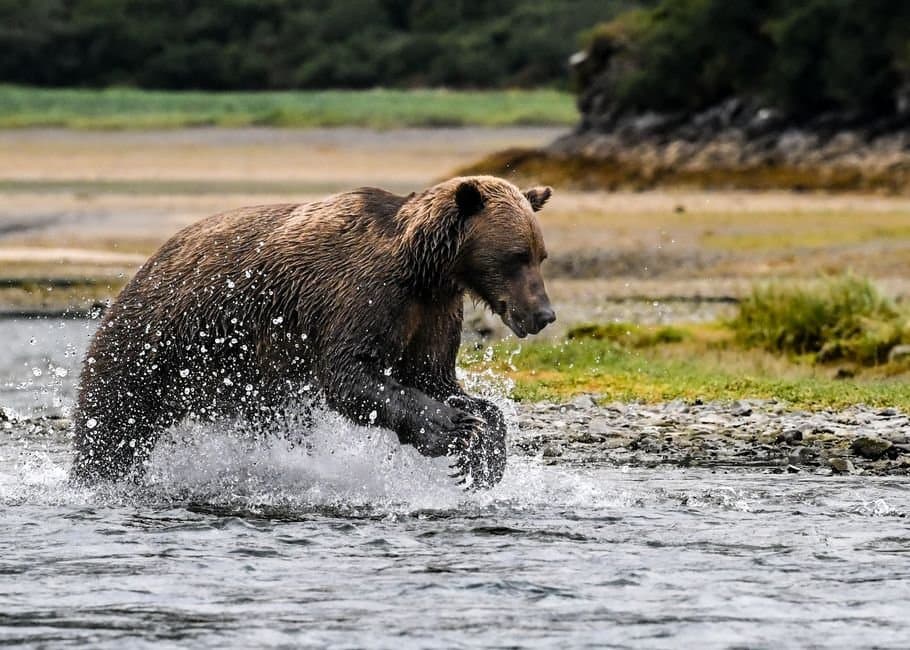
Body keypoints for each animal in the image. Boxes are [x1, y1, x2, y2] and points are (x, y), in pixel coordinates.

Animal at [70, 175, 555, 488]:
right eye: (516, 255)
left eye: (540, 255)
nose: (544, 313)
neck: (425, 269)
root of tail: (140, 270)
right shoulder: (364, 294)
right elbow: (351, 374)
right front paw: (452, 428)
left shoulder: (432, 311)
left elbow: (432, 376)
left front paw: (483, 453)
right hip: (155, 340)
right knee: (112, 418)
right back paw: (95, 476)